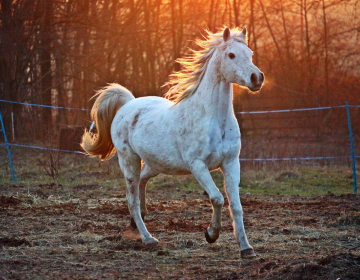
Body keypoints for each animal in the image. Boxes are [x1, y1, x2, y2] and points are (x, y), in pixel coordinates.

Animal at [83, 27, 266, 260]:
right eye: (231, 55)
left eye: (250, 53)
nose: (256, 78)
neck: (213, 119)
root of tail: (128, 104)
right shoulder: (198, 166)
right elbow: (217, 198)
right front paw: (211, 234)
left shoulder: (231, 163)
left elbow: (236, 206)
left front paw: (246, 249)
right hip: (129, 161)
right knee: (132, 199)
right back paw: (148, 238)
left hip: (155, 164)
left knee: (142, 183)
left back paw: (138, 221)